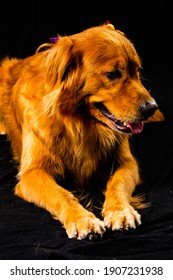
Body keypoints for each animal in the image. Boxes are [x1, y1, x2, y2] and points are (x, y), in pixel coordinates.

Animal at [0, 24, 164, 240]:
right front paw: (82, 219)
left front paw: (120, 211)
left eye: (137, 71)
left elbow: (117, 184)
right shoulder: (31, 174)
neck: (80, 124)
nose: (152, 107)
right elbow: (60, 194)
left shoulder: (128, 162)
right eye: (113, 74)